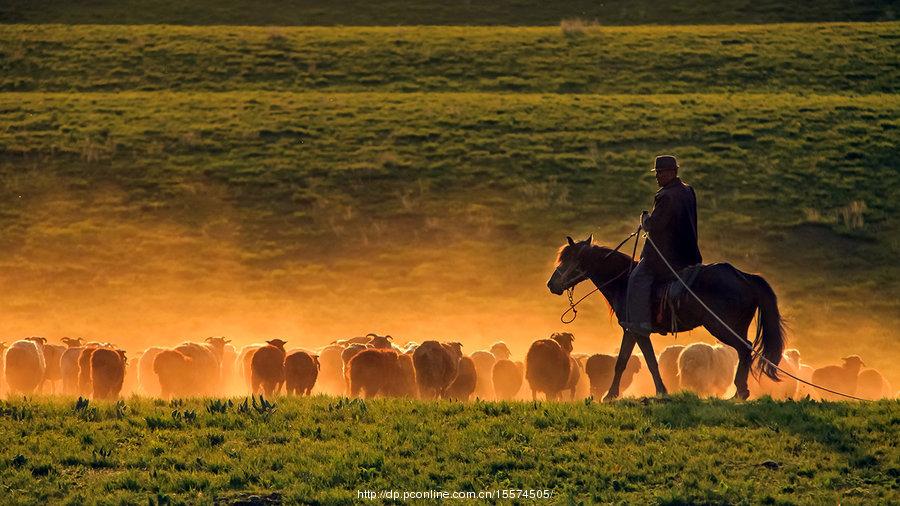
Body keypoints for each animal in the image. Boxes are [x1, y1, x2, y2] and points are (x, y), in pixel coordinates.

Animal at [544, 235, 784, 402]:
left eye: (567, 260)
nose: (551, 284)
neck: (624, 281)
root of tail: (744, 277)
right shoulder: (634, 331)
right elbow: (631, 361)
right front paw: (618, 394)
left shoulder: (635, 330)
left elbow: (640, 362)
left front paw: (648, 392)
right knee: (745, 351)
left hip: (722, 327)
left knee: (744, 349)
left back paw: (740, 392)